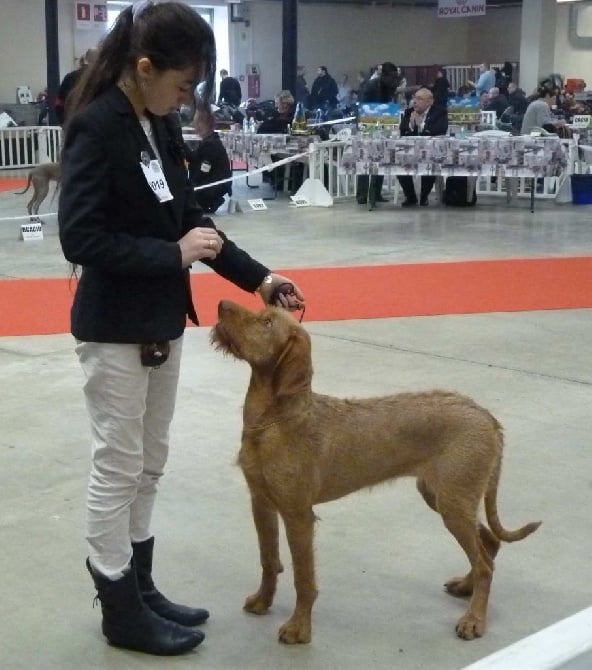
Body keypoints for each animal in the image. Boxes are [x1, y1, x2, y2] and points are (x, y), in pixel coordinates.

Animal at [210, 302, 544, 648]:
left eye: (267, 322)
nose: (221, 304)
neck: (273, 421)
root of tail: (488, 417)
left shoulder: (298, 514)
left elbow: (303, 577)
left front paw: (299, 628)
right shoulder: (261, 502)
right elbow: (268, 559)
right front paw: (263, 601)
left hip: (453, 503)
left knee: (484, 564)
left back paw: (474, 620)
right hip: (442, 496)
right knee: (488, 544)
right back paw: (467, 588)